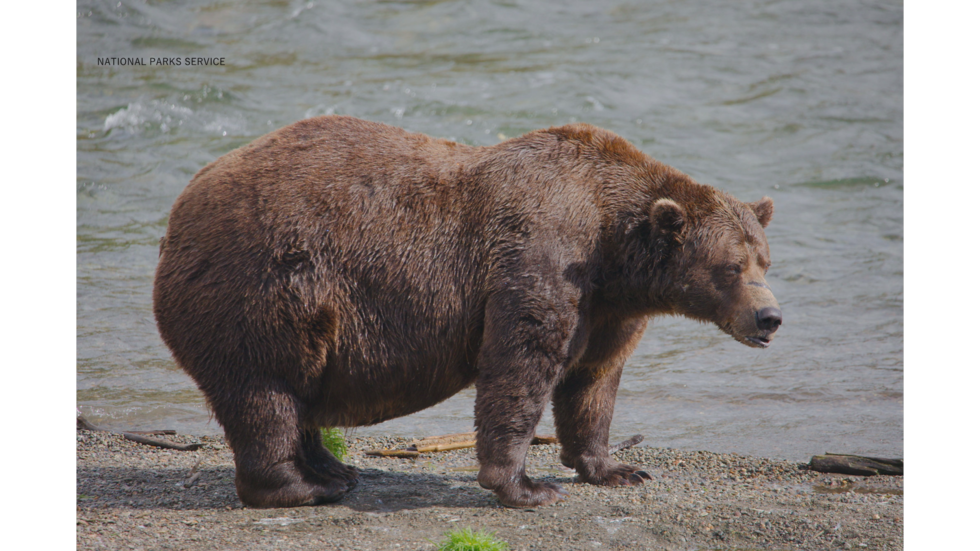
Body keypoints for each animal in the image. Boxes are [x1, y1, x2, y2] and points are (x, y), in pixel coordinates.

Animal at [153, 115, 781, 509]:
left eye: (765, 260)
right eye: (731, 267)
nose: (769, 318)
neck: (614, 248)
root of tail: (177, 212)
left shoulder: (608, 308)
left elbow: (593, 381)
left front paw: (617, 468)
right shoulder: (541, 256)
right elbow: (520, 364)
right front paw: (526, 486)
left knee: (297, 392)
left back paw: (334, 469)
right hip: (263, 287)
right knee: (266, 391)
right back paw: (303, 486)